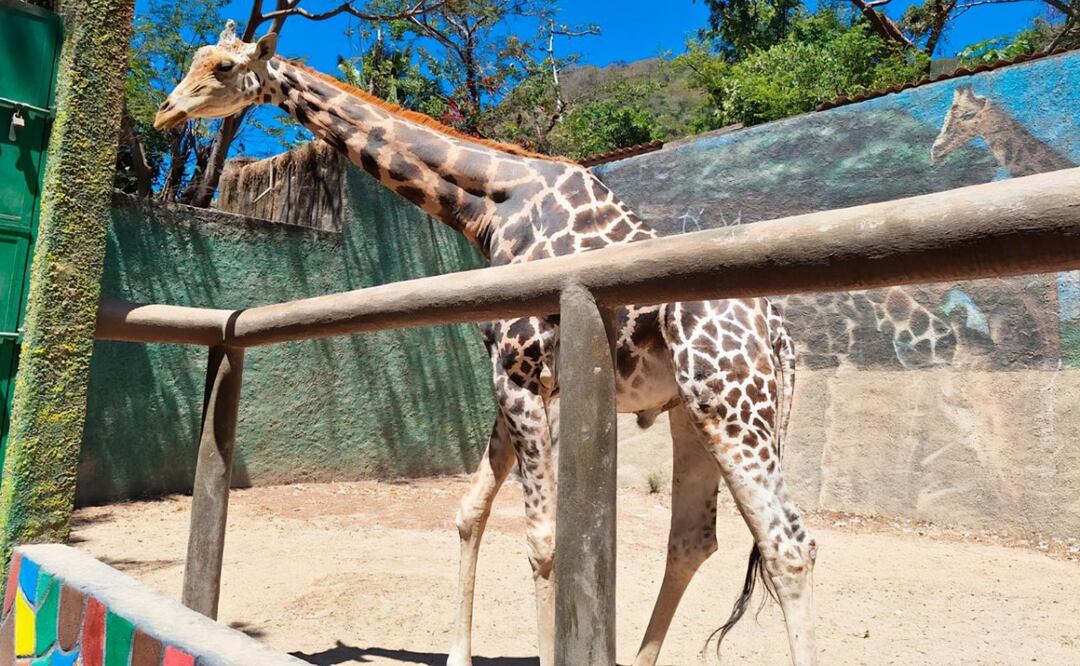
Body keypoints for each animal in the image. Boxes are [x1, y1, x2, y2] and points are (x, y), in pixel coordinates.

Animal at [154, 24, 818, 666]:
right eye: (193, 60)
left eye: (222, 67)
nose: (165, 111)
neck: (491, 205)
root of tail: (779, 335)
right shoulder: (510, 376)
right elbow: (469, 511)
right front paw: (456, 656)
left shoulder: (522, 373)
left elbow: (543, 541)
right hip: (691, 410)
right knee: (693, 539)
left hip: (730, 402)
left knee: (789, 546)